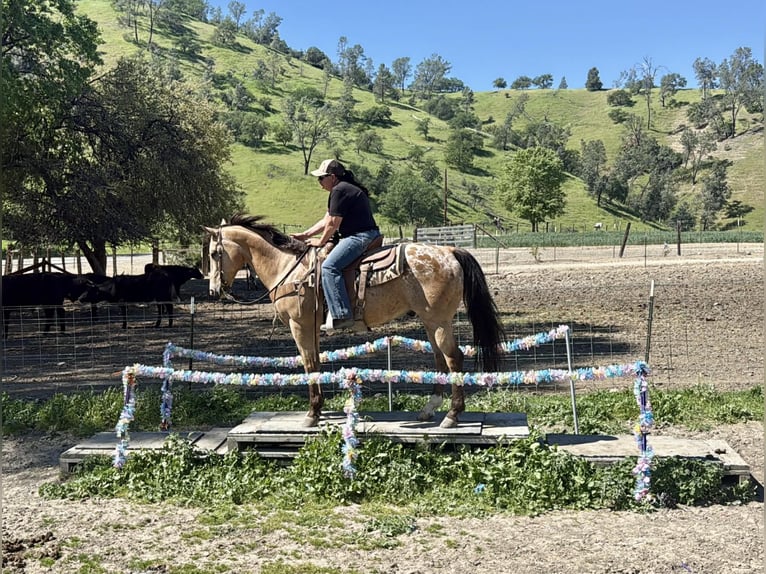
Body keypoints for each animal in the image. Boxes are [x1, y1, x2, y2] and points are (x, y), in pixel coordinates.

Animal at [204, 214, 505, 428]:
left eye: (214, 254)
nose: (214, 290)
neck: (288, 268)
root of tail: (450, 251)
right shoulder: (311, 327)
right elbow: (316, 363)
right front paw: (319, 409)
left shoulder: (299, 325)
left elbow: (309, 365)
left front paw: (312, 412)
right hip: (431, 322)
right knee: (440, 359)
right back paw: (429, 410)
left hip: (439, 321)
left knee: (454, 358)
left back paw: (452, 416)